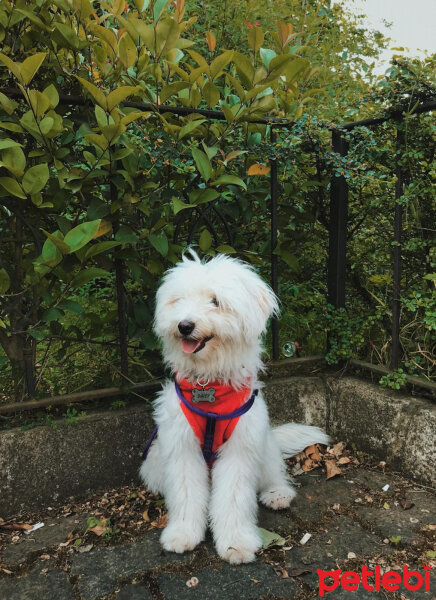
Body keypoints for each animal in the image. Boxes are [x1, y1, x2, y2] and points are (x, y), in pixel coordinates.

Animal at [140, 251, 328, 564]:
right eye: (179, 300)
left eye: (215, 301)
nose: (184, 325)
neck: (210, 386)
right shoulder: (181, 447)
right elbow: (186, 491)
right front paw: (182, 534)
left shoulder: (240, 448)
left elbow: (233, 496)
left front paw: (236, 543)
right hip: (155, 459)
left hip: (262, 445)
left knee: (274, 473)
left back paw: (278, 493)